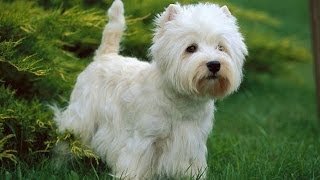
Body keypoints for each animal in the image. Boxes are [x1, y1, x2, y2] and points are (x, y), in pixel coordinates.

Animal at [52, 0, 248, 179]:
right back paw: (59, 164)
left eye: (221, 47)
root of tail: (104, 56)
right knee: (67, 138)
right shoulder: (143, 139)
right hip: (81, 117)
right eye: (191, 48)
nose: (214, 64)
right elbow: (135, 165)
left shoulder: (193, 142)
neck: (182, 102)